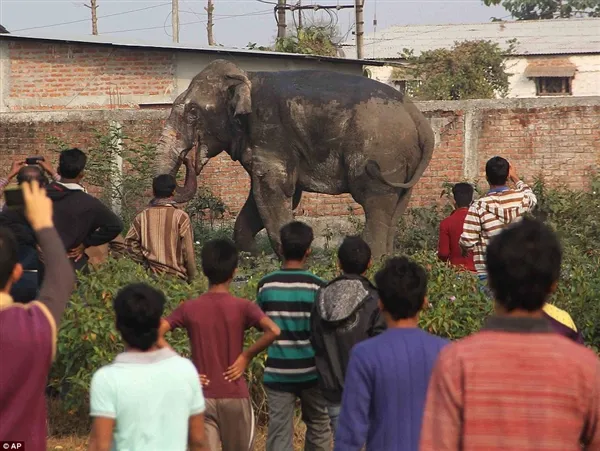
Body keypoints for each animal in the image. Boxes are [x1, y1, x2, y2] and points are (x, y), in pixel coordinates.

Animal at [157, 58, 434, 260]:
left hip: (381, 154)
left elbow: (272, 190)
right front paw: (253, 256)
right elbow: (266, 196)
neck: (247, 77)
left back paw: (372, 260)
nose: (188, 159)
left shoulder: (269, 132)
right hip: (404, 161)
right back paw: (387, 258)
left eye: (193, 112)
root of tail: (418, 117)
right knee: (395, 205)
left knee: (375, 201)